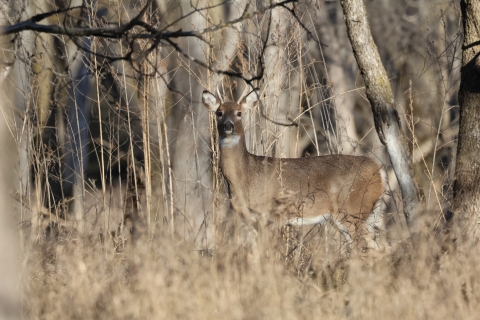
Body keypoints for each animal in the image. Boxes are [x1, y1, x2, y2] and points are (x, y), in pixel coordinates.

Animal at [202, 88, 386, 250]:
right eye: (219, 113)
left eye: (239, 113)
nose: (228, 126)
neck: (245, 177)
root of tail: (379, 169)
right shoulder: (248, 219)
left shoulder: (274, 215)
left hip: (354, 210)